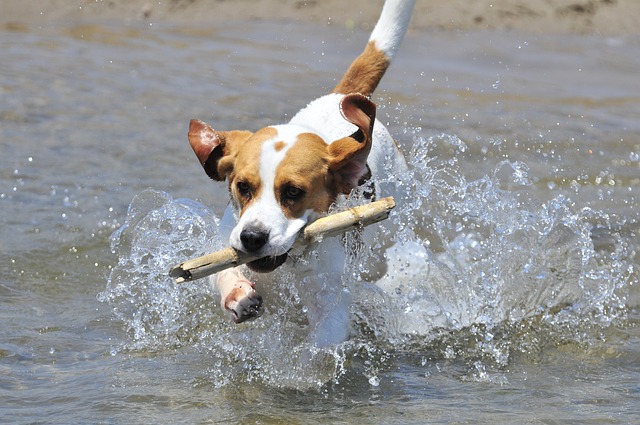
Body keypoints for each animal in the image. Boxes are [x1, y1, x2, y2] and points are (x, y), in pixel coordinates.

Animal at [186, 0, 416, 344]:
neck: (291, 262)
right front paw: (239, 294)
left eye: (293, 192)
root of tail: (340, 95)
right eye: (243, 187)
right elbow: (222, 272)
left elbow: (322, 344)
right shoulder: (225, 245)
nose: (252, 237)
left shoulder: (330, 310)